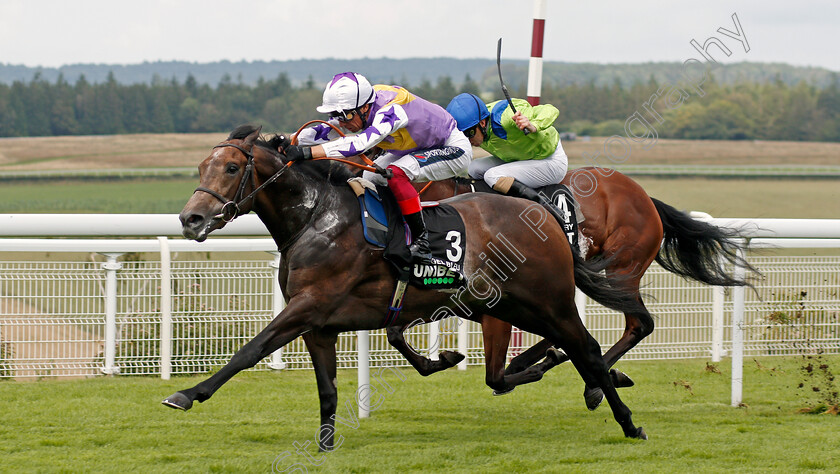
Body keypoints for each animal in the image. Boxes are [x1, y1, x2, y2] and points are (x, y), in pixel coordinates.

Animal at [162, 124, 648, 446]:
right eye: (202, 166)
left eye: (230, 167)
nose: (191, 219)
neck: (316, 218)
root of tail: (544, 212)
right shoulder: (319, 324)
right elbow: (327, 388)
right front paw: (325, 444)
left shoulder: (307, 305)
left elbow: (250, 350)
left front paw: (187, 393)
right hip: (509, 305)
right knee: (550, 356)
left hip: (549, 300)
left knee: (587, 348)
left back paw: (626, 420)